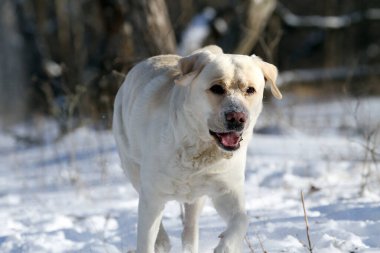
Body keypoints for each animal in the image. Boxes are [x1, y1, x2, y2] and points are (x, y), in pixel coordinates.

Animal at [111, 45, 280, 253]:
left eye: (250, 90)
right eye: (217, 88)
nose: (237, 117)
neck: (200, 151)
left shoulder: (226, 189)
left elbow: (242, 218)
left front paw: (226, 246)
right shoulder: (152, 194)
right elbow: (146, 238)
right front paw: (156, 242)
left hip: (197, 197)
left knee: (189, 229)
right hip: (133, 169)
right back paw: (162, 242)